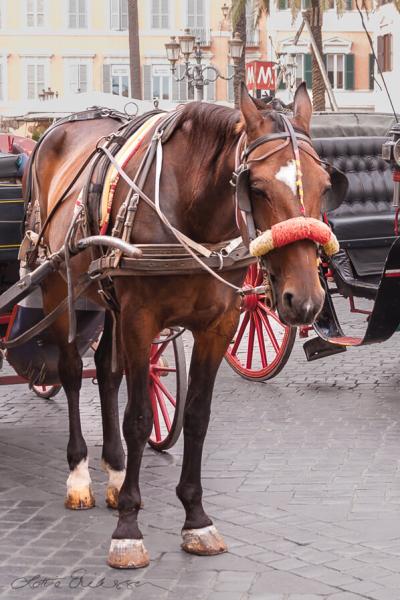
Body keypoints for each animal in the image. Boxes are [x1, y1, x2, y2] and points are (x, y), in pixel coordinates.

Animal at [25, 83, 332, 568]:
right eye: (257, 188)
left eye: (326, 184)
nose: (304, 300)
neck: (192, 213)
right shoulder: (139, 320)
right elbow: (139, 417)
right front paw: (128, 529)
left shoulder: (218, 326)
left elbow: (197, 415)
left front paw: (196, 518)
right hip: (59, 287)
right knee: (73, 373)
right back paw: (80, 477)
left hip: (108, 301)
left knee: (106, 372)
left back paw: (115, 473)